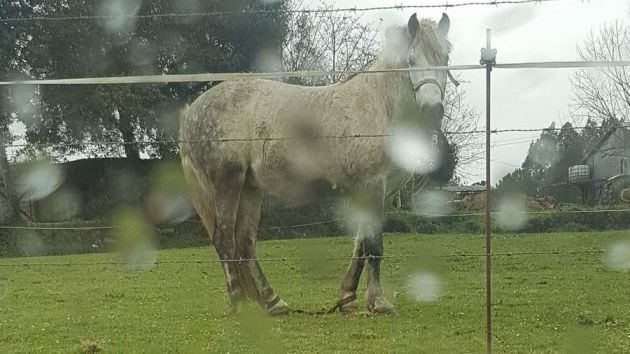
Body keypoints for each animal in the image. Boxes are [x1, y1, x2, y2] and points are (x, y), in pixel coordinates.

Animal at [180, 12, 452, 314]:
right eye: (411, 60)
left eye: (445, 56)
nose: (432, 110)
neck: (380, 107)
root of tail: (192, 111)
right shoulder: (372, 185)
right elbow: (373, 245)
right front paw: (377, 302)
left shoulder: (383, 191)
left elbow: (360, 244)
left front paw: (347, 297)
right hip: (227, 183)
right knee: (225, 239)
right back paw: (238, 304)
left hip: (250, 188)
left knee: (245, 242)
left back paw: (273, 302)